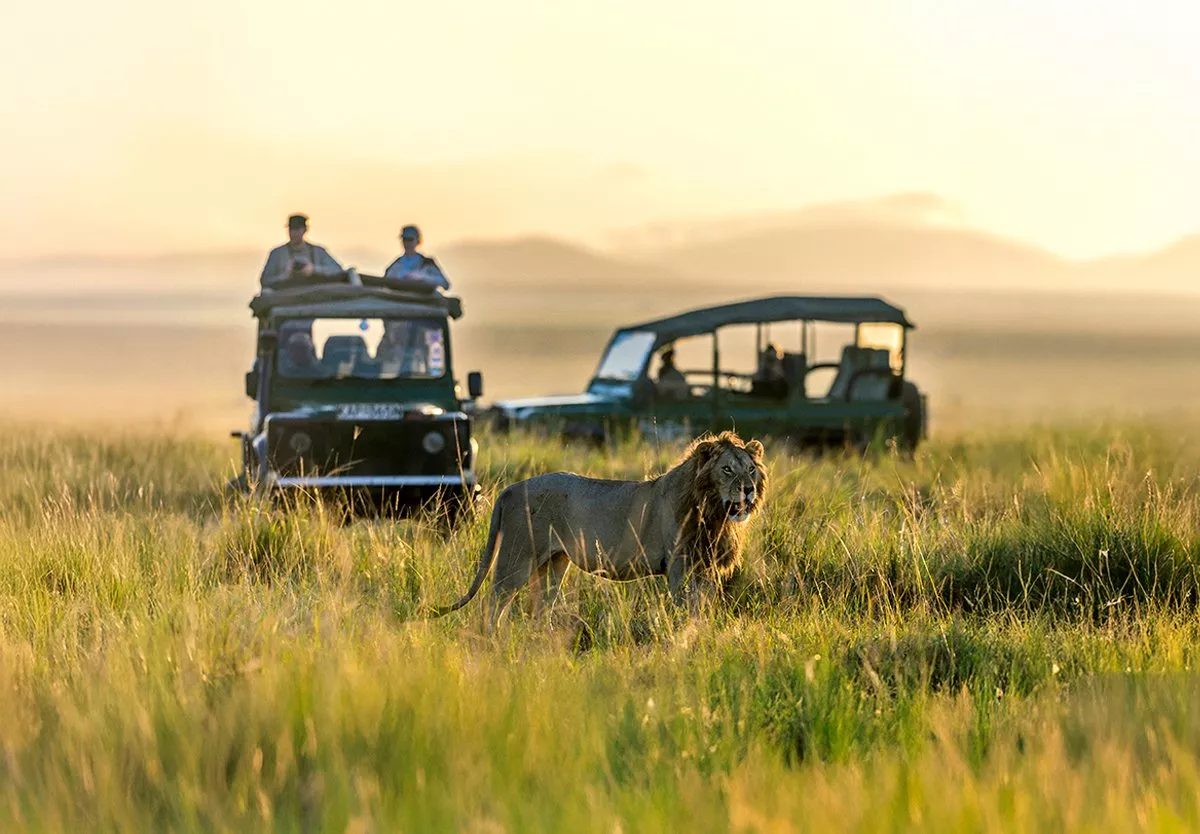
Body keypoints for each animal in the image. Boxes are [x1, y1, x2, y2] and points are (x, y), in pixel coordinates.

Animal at [431, 431, 768, 628]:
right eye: (727, 469)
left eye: (750, 469)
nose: (748, 490)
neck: (713, 513)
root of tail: (509, 490)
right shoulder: (679, 566)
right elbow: (687, 609)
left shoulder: (706, 567)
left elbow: (705, 608)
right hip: (516, 559)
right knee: (493, 605)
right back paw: (494, 644)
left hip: (553, 564)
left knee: (540, 608)